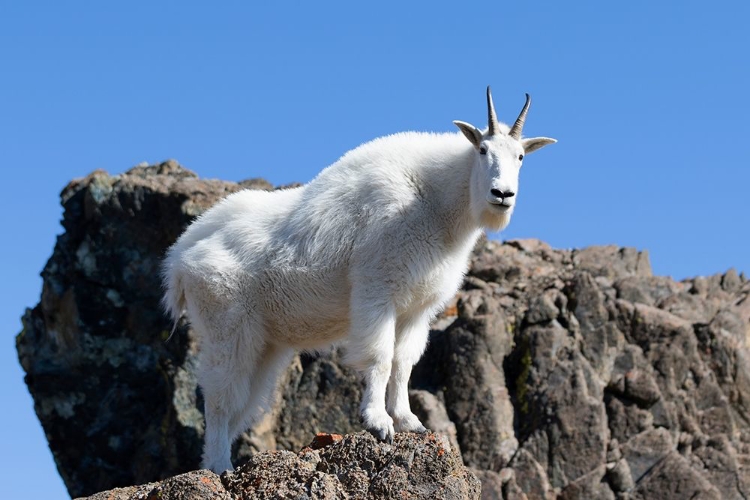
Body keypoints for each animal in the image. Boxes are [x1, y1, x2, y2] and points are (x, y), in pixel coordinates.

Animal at [163, 87, 560, 472]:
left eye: (521, 157)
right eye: (482, 150)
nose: (502, 194)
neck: (434, 203)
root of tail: (180, 260)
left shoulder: (417, 309)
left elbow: (403, 363)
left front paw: (409, 422)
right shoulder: (377, 291)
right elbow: (380, 357)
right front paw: (378, 422)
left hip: (266, 343)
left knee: (243, 402)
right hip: (227, 326)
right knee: (219, 397)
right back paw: (218, 467)